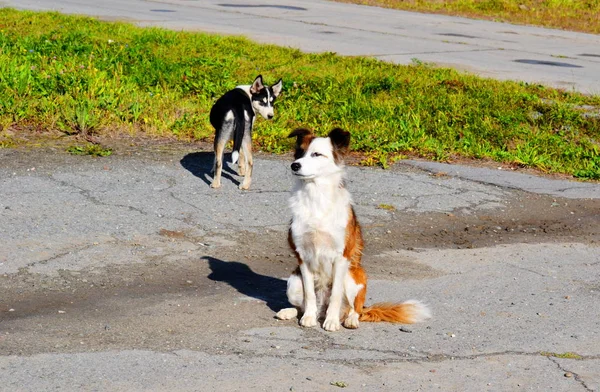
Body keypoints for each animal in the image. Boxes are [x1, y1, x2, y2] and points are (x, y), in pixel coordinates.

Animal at [276, 128, 432, 330]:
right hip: (294, 282)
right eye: (299, 152)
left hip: (353, 275)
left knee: (354, 308)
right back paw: (293, 312)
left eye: (316, 154)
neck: (316, 197)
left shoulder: (341, 256)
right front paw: (308, 318)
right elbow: (309, 294)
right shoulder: (303, 257)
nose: (294, 165)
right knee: (304, 304)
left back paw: (348, 319)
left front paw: (332, 321)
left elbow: (335, 294)